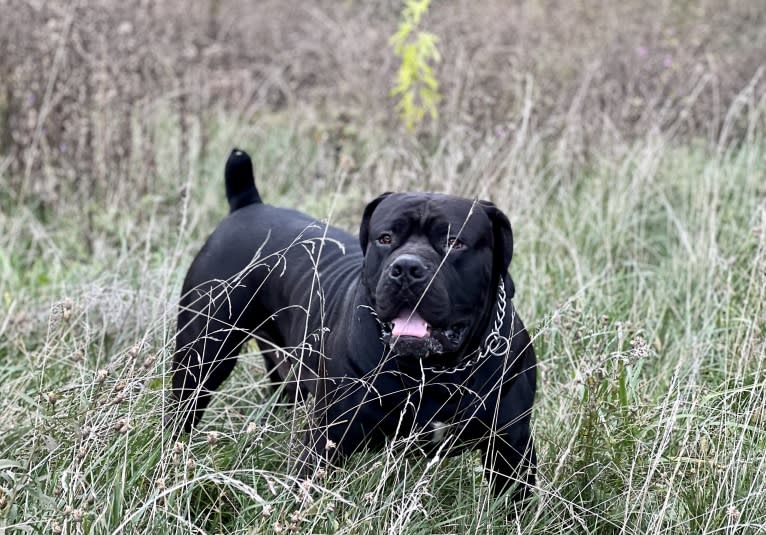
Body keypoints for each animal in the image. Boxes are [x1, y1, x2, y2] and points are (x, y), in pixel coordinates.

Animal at [171, 150, 536, 502]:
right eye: (385, 238)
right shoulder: (328, 439)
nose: (406, 268)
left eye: (455, 243)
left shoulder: (511, 447)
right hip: (202, 356)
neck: (434, 372)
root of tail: (248, 205)